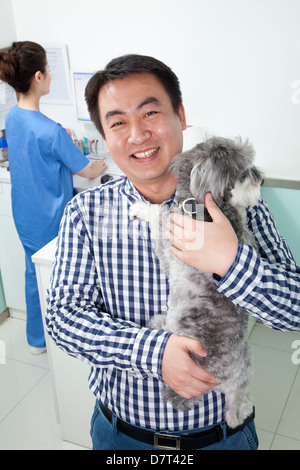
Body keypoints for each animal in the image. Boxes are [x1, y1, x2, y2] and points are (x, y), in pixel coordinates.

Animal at [129, 137, 262, 430]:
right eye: (244, 171)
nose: (260, 176)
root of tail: (220, 381)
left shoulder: (170, 249)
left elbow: (159, 216)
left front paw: (142, 209)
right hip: (246, 361)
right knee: (242, 395)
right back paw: (240, 411)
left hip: (171, 328)